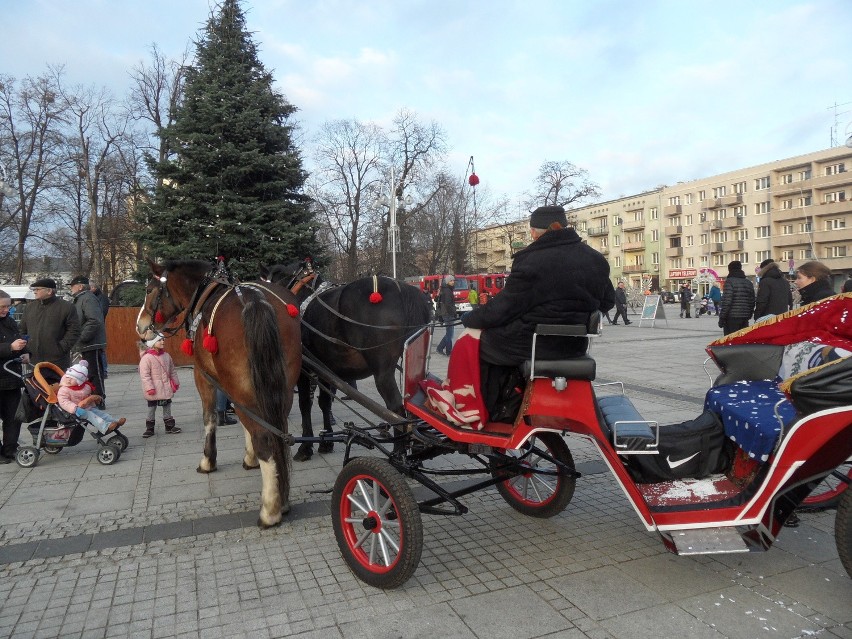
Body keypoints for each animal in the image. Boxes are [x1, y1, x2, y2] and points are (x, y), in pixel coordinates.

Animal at [137, 258, 302, 528]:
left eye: (150, 289)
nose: (140, 326)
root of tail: (254, 301)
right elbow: (246, 425)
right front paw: (249, 458)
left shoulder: (203, 376)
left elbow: (211, 417)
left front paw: (208, 461)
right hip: (281, 389)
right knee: (279, 433)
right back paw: (283, 497)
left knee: (266, 439)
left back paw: (270, 510)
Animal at [262, 260, 430, 460]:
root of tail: (401, 290)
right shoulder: (326, 369)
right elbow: (324, 402)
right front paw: (326, 441)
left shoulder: (305, 370)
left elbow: (305, 404)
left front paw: (305, 447)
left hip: (382, 371)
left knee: (396, 408)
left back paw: (398, 452)